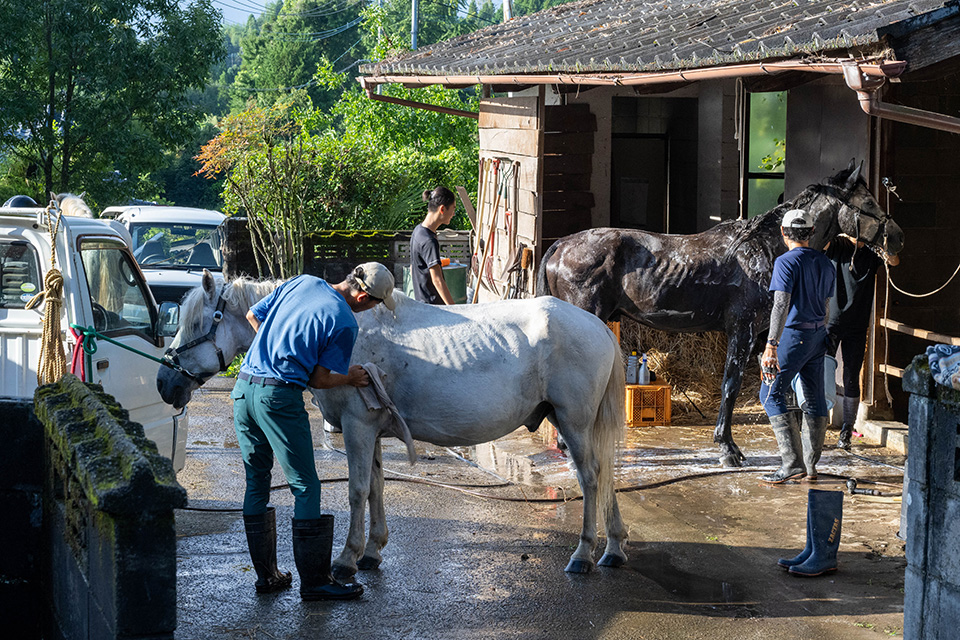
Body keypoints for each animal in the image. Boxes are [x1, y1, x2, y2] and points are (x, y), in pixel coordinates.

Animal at [159, 272, 632, 576]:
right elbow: (377, 487)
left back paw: (583, 555)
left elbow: (356, 491)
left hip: (573, 422)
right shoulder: (371, 430)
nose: (166, 382)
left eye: (198, 322)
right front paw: (372, 551)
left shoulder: (357, 427)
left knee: (591, 478)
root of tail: (598, 326)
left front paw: (347, 558)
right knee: (605, 474)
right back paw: (613, 547)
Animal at [536, 162, 904, 468]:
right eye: (869, 204)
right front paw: (728, 449)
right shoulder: (742, 330)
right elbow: (731, 385)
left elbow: (779, 387)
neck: (764, 249)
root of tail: (560, 245)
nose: (897, 237)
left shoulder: (763, 335)